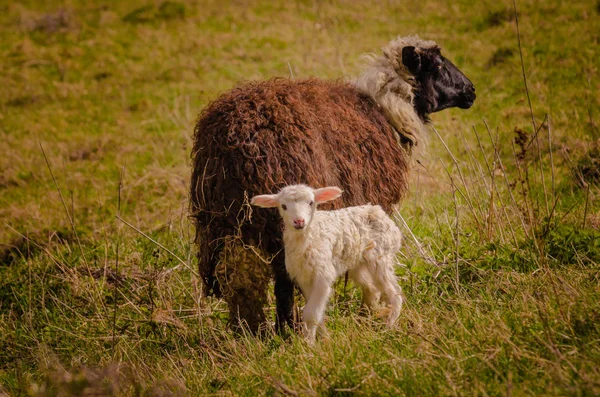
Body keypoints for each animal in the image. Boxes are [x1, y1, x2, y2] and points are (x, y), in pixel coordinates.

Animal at [248, 184, 404, 342]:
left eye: (311, 203)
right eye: (283, 206)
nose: (299, 221)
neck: (306, 240)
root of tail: (379, 211)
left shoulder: (323, 275)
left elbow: (311, 313)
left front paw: (308, 343)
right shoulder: (304, 278)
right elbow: (318, 313)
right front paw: (324, 339)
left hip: (381, 256)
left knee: (394, 292)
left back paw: (388, 327)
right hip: (357, 263)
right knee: (371, 289)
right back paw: (364, 320)